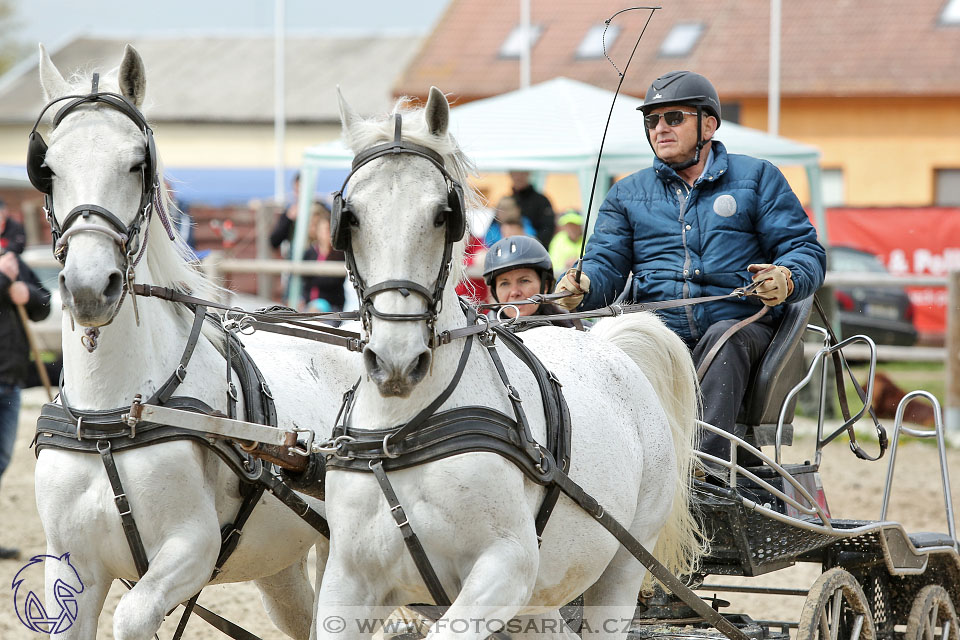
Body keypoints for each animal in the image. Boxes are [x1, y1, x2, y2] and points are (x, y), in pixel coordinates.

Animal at [33, 43, 356, 636]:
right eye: (47, 170)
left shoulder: (192, 546)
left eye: (137, 164)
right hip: (279, 562)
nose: (89, 287)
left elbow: (134, 616)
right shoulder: (72, 565)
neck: (114, 414)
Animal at [318, 90, 700, 640]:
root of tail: (606, 345)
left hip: (624, 562)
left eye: (443, 215)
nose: (396, 361)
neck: (403, 431)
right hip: (540, 599)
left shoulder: (507, 567)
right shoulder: (346, 581)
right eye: (351, 218)